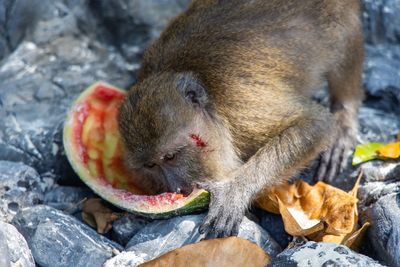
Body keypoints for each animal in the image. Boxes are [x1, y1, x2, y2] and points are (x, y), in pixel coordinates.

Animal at [117, 0, 364, 239]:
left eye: (170, 156)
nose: (176, 189)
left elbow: (316, 123)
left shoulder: (242, 112)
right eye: (151, 165)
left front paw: (234, 190)